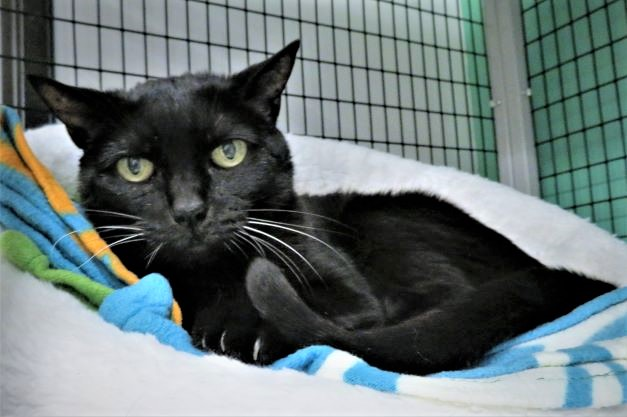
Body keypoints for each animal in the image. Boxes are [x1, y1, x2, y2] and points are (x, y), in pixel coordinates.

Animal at [28, 41, 612, 374]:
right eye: (136, 168)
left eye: (229, 153)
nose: (190, 210)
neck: (216, 276)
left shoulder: (343, 286)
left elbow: (343, 319)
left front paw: (247, 332)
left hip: (387, 222)